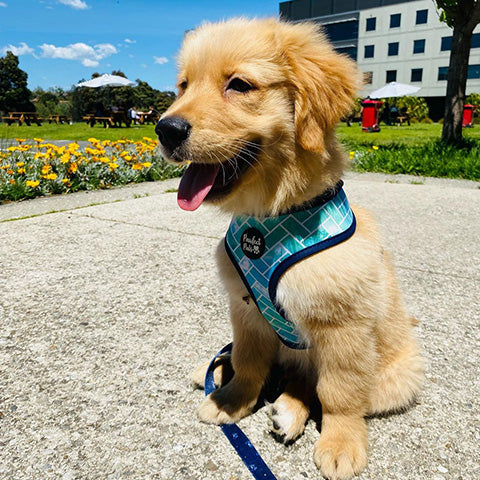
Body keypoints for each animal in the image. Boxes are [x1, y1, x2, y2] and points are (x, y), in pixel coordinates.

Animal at [156, 16, 422, 478]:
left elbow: (338, 393)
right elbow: (248, 363)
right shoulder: (245, 309)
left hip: (397, 377)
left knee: (313, 383)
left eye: (239, 85)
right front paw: (231, 400)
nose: (165, 130)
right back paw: (218, 373)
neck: (272, 217)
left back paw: (290, 412)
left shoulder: (342, 326)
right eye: (184, 86)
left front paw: (341, 442)